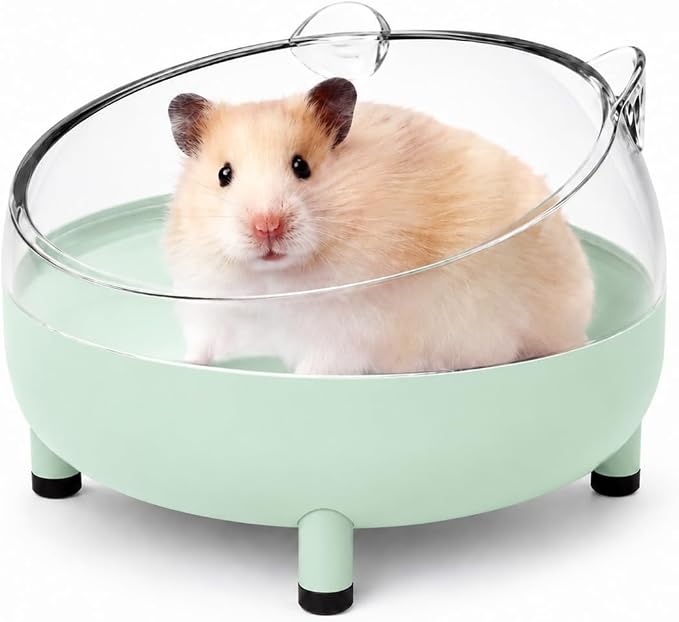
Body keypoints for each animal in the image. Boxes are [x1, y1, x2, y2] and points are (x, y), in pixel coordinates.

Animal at [165, 77, 593, 374]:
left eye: (301, 166)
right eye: (224, 174)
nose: (266, 227)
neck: (272, 281)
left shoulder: (346, 333)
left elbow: (317, 366)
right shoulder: (211, 308)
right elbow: (201, 346)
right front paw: (183, 366)